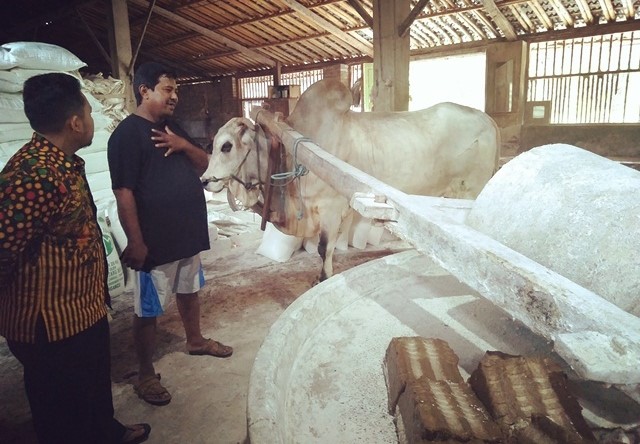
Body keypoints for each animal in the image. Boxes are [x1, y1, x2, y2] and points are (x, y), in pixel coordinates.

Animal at [202, 79, 502, 280]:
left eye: (226, 146)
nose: (205, 180)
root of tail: (487, 118)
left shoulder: (331, 209)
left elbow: (324, 249)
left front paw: (323, 278)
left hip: (470, 191)